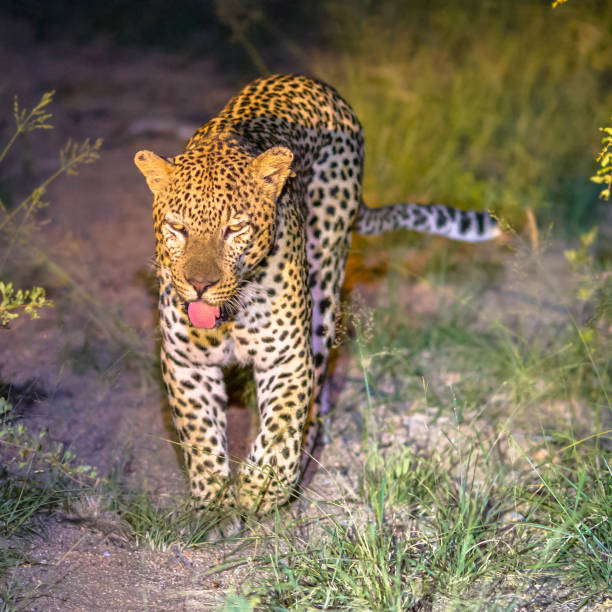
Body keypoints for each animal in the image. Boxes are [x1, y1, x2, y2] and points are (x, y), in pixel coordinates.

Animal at [133, 74, 498, 520]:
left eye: (235, 228)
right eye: (177, 228)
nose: (199, 284)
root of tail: (314, 83)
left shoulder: (286, 358)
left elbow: (281, 428)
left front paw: (260, 490)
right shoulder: (187, 361)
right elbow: (200, 435)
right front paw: (215, 502)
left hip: (326, 277)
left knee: (317, 383)